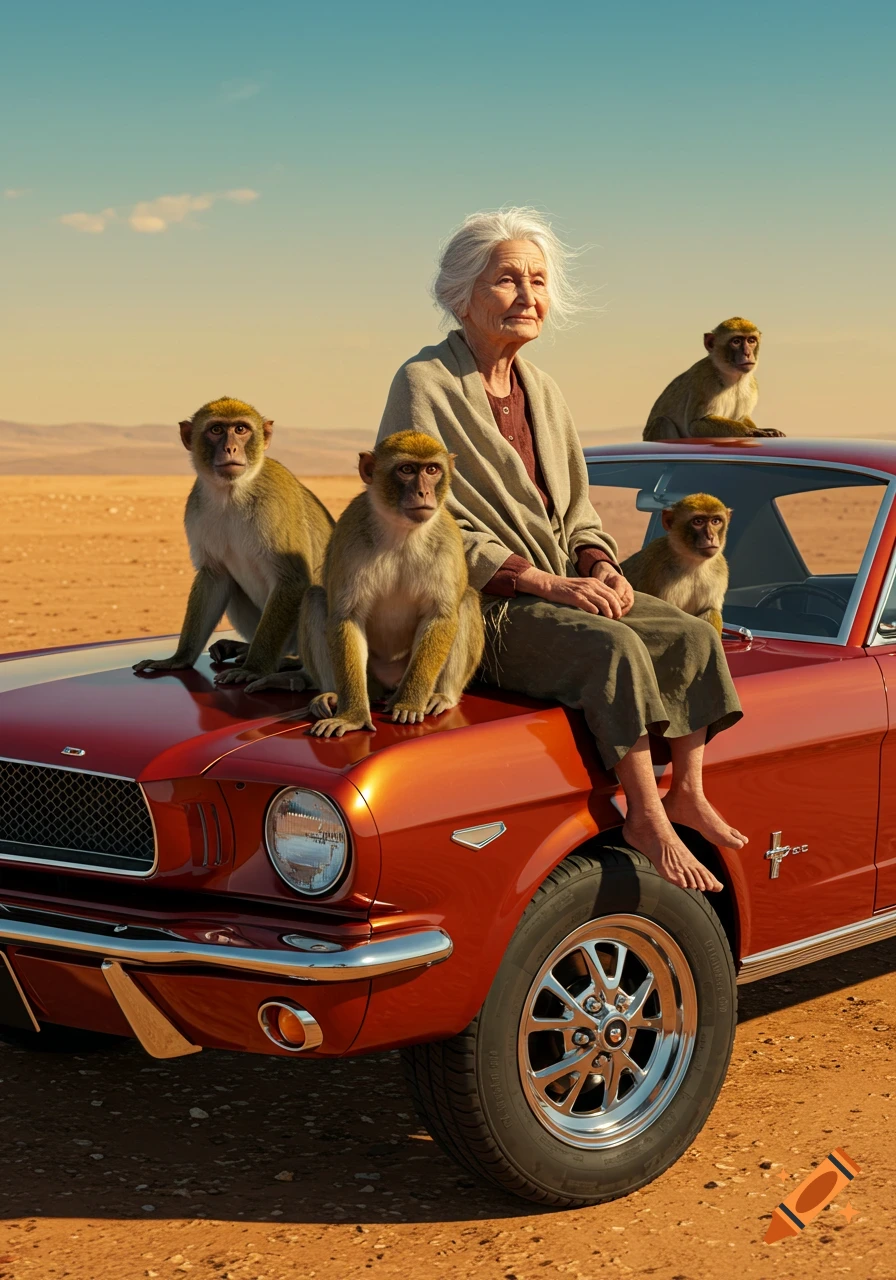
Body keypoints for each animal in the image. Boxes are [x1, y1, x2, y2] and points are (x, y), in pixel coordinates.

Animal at [133, 396, 334, 686]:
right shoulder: (196, 509)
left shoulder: (276, 504)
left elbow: (293, 581)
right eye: (216, 430)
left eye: (241, 429)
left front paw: (255, 669)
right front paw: (178, 658)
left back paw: (286, 663)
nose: (230, 448)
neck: (232, 493)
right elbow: (214, 576)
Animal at [246, 430, 485, 737]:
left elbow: (441, 614)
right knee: (314, 599)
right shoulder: (351, 536)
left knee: (466, 600)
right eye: (407, 469)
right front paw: (354, 715)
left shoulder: (447, 540)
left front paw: (410, 702)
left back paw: (441, 696)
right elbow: (347, 617)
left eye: (432, 470)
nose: (424, 493)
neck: (401, 532)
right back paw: (331, 695)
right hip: (370, 678)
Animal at [620, 494, 731, 634]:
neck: (693, 562)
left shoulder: (720, 571)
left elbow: (710, 609)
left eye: (716, 521)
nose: (710, 536)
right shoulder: (656, 566)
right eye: (698, 521)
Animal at [643, 317, 785, 440]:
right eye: (736, 341)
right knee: (662, 422)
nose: (747, 353)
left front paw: (765, 429)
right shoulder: (705, 380)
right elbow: (695, 424)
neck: (731, 378)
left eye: (751, 341)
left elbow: (742, 416)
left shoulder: (752, 386)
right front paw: (752, 431)